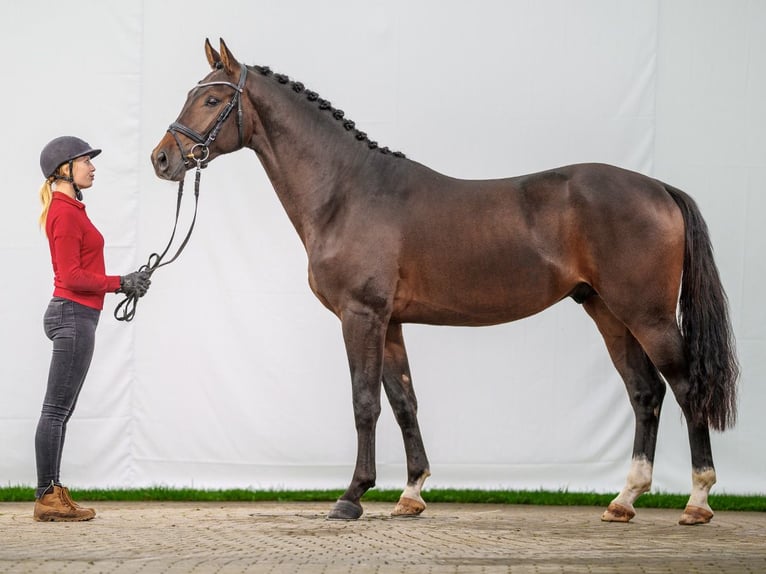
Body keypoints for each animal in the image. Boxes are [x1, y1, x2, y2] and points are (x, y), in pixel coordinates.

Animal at [147, 39, 740, 528]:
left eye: (211, 99)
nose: (162, 159)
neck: (347, 191)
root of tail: (659, 188)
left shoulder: (361, 315)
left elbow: (364, 401)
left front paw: (352, 497)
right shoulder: (389, 322)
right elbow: (403, 400)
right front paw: (411, 494)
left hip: (647, 314)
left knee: (686, 388)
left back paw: (697, 501)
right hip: (607, 311)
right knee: (646, 392)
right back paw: (624, 500)